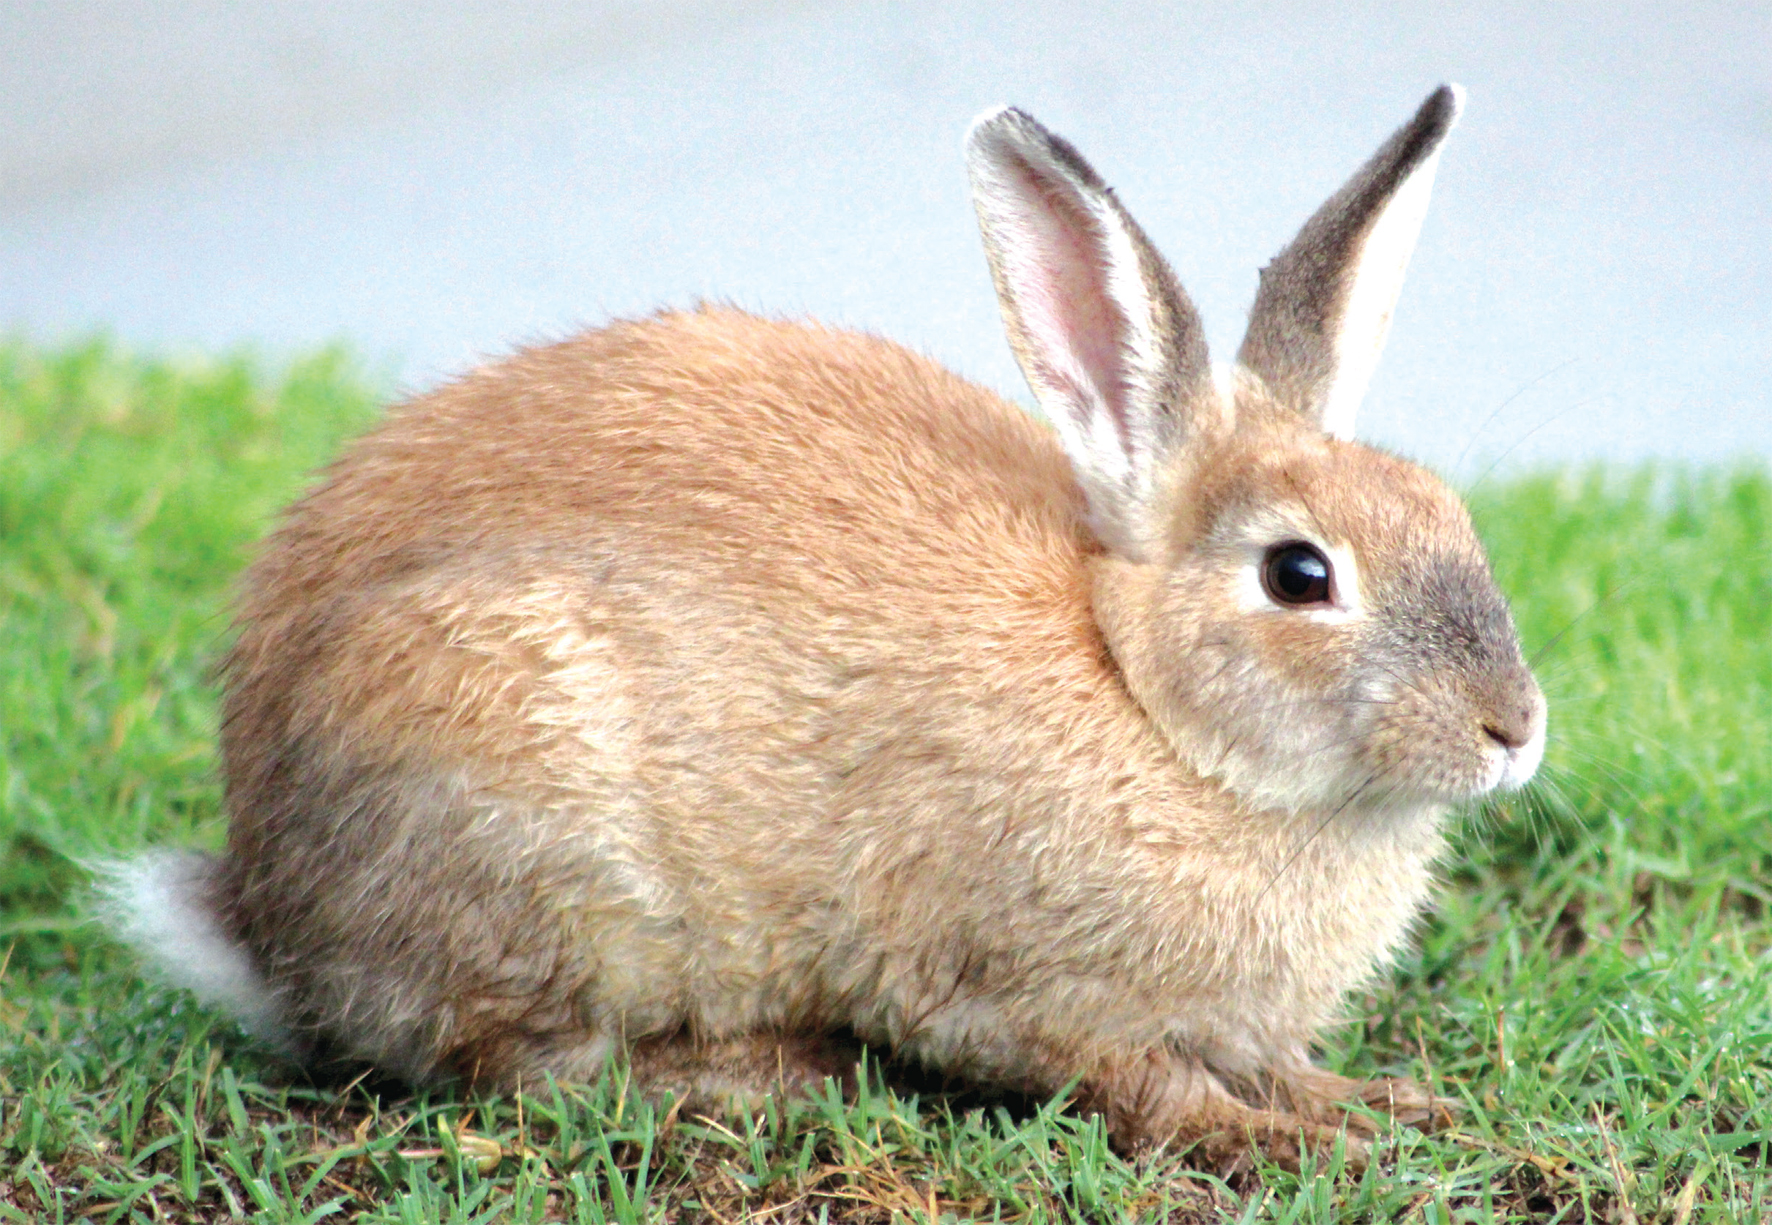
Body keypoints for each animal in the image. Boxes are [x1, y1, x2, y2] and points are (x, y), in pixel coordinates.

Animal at [103, 83, 1545, 1171]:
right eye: (1300, 575)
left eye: (1445, 512)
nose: (1514, 729)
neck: (1151, 706)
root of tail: (266, 921)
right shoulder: (1014, 987)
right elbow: (1138, 1084)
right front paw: (1294, 1142)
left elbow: (1275, 1062)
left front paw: (1378, 1106)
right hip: (513, 813)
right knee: (527, 1064)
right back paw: (772, 1071)